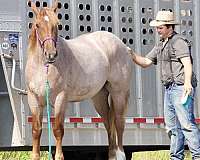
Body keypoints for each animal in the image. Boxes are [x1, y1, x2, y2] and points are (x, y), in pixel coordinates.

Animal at [26, 0, 133, 159]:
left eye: (57, 24)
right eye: (37, 25)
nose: (51, 54)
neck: (43, 68)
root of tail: (123, 45)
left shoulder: (60, 98)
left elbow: (58, 129)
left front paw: (59, 156)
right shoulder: (33, 99)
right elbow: (36, 130)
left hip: (119, 93)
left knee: (119, 123)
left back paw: (120, 154)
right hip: (99, 97)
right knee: (109, 124)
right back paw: (112, 155)